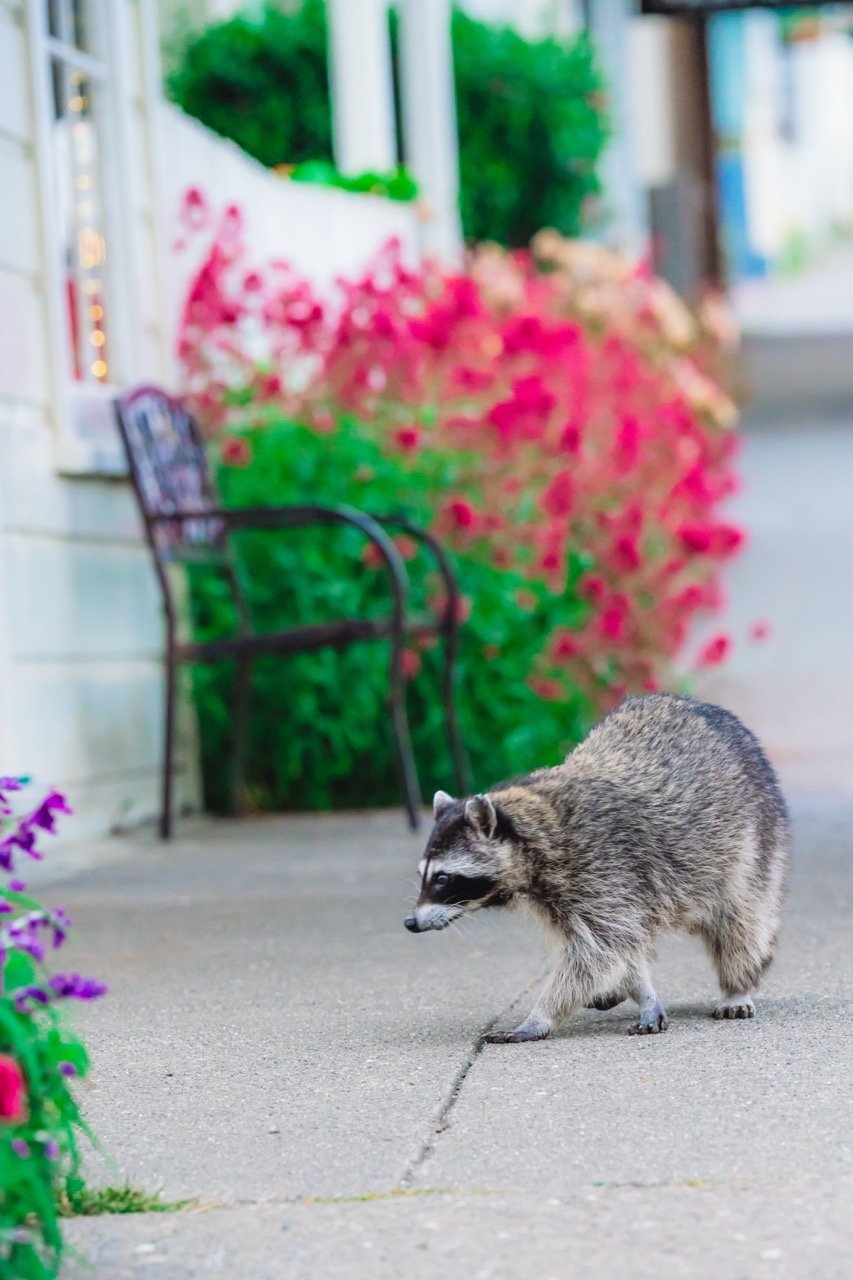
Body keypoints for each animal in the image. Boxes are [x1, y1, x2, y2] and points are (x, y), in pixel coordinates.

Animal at [404, 694, 789, 1042]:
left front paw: (540, 1016)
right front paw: (642, 990)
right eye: (423, 876)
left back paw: (737, 985)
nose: (410, 922)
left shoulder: (601, 866)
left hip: (754, 841)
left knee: (741, 922)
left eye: (442, 878)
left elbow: (596, 952)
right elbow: (616, 948)